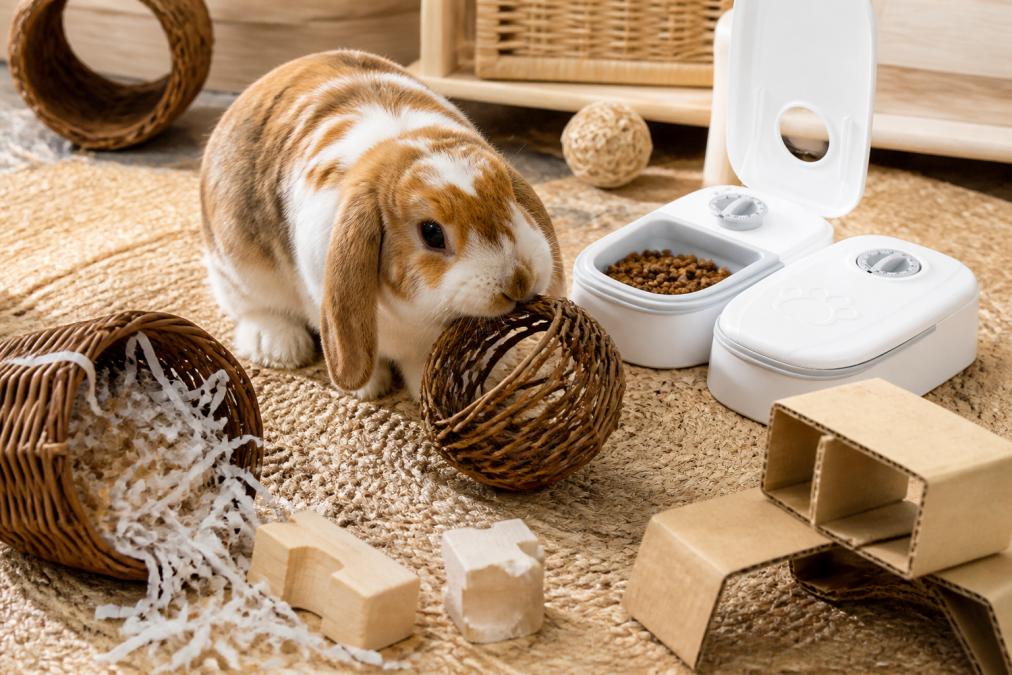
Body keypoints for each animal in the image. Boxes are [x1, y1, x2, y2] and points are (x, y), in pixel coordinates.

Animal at [201, 50, 565, 400]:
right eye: (432, 233)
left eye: (510, 197)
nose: (519, 281)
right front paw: (368, 389)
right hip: (237, 270)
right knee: (253, 307)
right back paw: (278, 348)